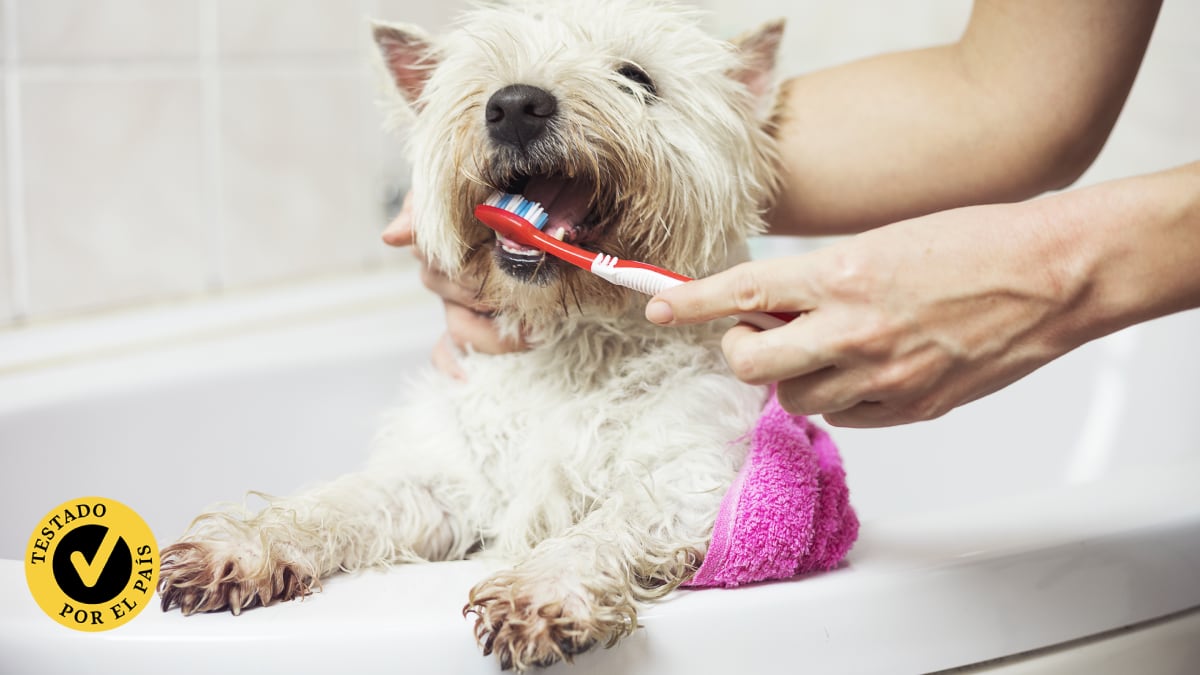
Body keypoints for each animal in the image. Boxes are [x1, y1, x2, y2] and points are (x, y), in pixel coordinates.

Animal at [159, 2, 787, 667]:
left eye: (636, 77)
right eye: (487, 77)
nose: (514, 105)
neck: (573, 342)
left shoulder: (686, 478)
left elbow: (611, 522)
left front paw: (544, 590)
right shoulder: (444, 481)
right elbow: (342, 501)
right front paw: (244, 544)